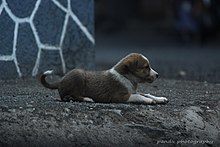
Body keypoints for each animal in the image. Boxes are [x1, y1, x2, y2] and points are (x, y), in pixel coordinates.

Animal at [40, 52, 168, 104]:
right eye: (146, 67)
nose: (157, 75)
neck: (126, 77)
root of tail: (60, 81)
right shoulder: (119, 97)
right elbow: (138, 96)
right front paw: (149, 101)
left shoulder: (132, 91)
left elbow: (146, 93)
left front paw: (160, 98)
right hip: (78, 75)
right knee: (69, 96)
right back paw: (87, 99)